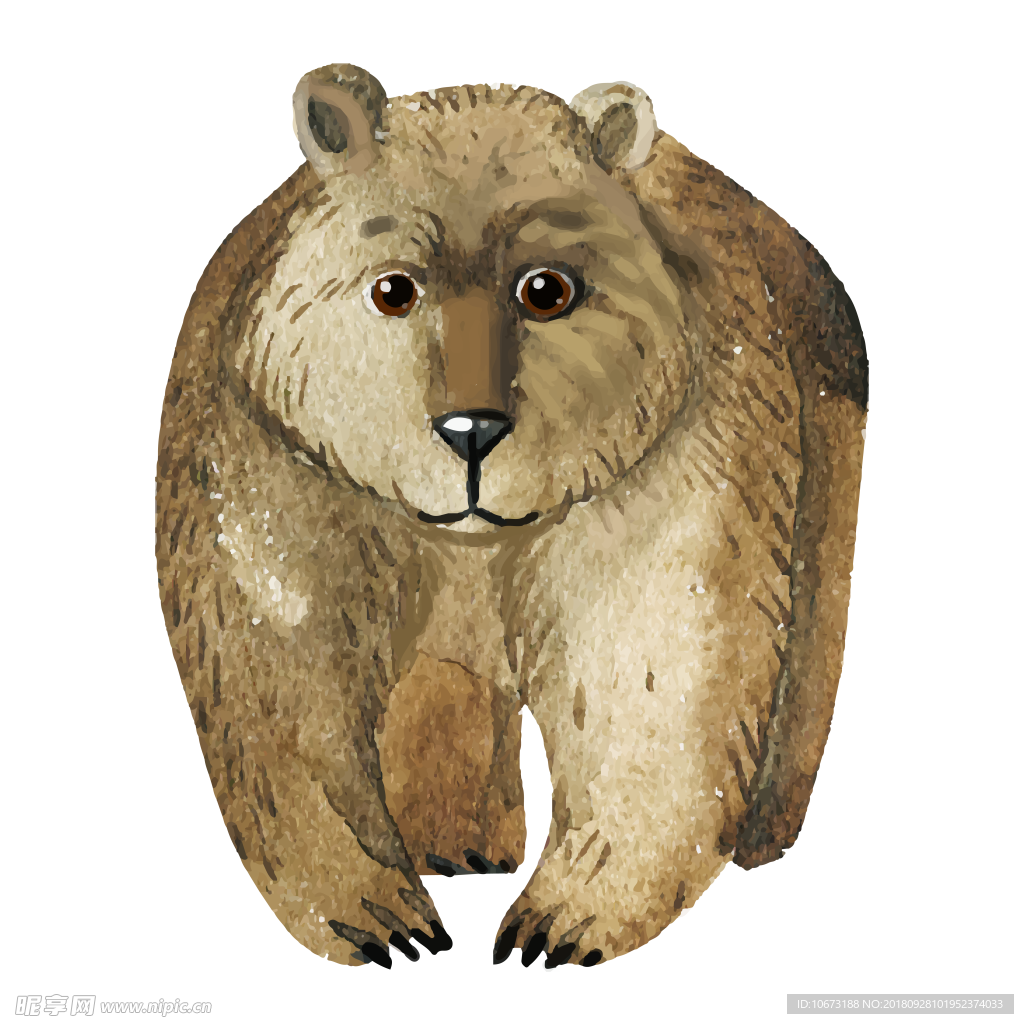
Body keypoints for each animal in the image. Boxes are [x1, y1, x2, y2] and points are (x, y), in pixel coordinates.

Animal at [154, 63, 868, 969]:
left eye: (546, 290)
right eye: (394, 288)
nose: (472, 431)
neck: (466, 534)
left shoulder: (662, 466)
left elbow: (653, 677)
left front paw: (560, 924)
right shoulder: (282, 467)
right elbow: (282, 690)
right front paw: (381, 919)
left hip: (829, 449)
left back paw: (764, 832)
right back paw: (455, 847)